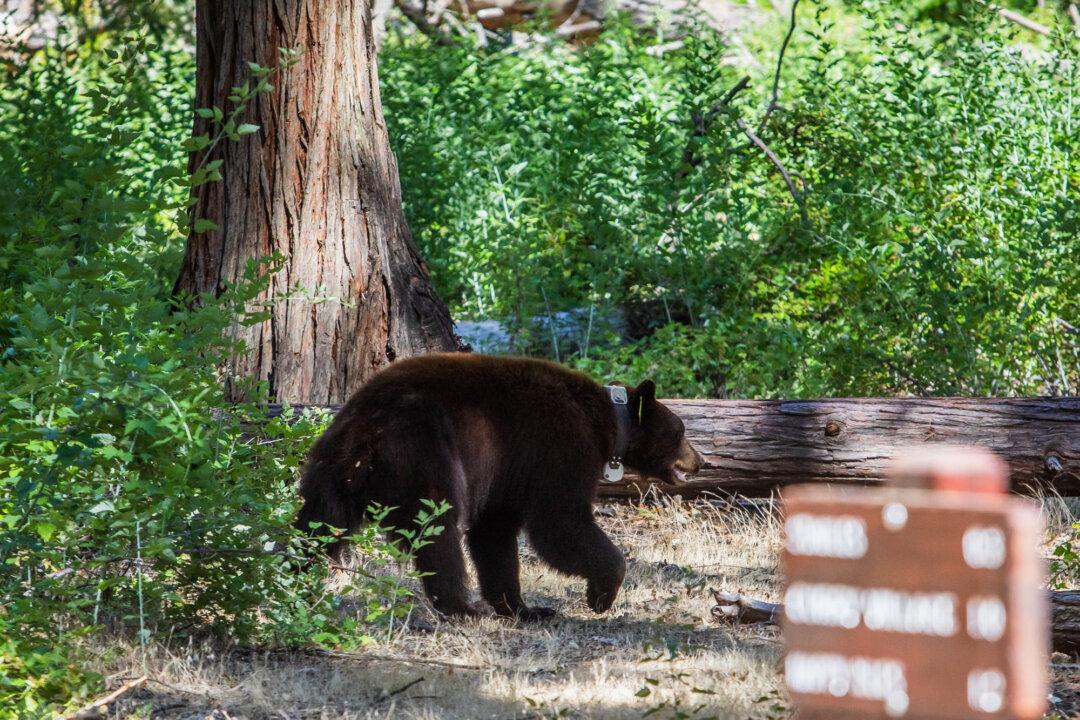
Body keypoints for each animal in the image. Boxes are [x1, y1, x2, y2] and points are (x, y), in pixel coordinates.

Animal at [295, 353, 704, 620]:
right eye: (681, 430)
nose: (700, 460)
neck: (606, 424)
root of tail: (365, 430)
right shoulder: (559, 447)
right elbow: (559, 524)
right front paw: (601, 594)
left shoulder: (508, 471)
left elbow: (495, 534)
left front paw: (524, 607)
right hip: (425, 452)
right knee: (438, 528)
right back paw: (464, 607)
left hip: (328, 472)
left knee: (316, 528)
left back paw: (296, 582)